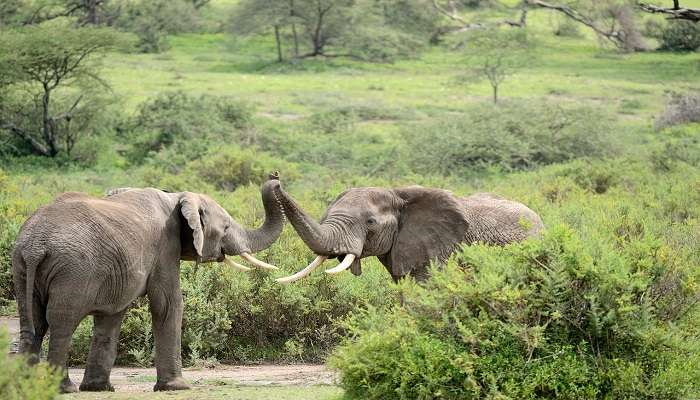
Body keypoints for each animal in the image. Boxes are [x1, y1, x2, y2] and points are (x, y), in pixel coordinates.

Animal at [10, 176, 284, 394]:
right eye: (225, 226)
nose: (276, 178)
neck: (177, 197)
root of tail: (35, 246)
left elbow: (111, 316)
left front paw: (99, 388)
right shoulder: (165, 245)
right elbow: (168, 304)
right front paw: (177, 388)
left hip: (21, 267)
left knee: (32, 323)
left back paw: (26, 386)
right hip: (72, 271)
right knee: (61, 324)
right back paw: (64, 388)